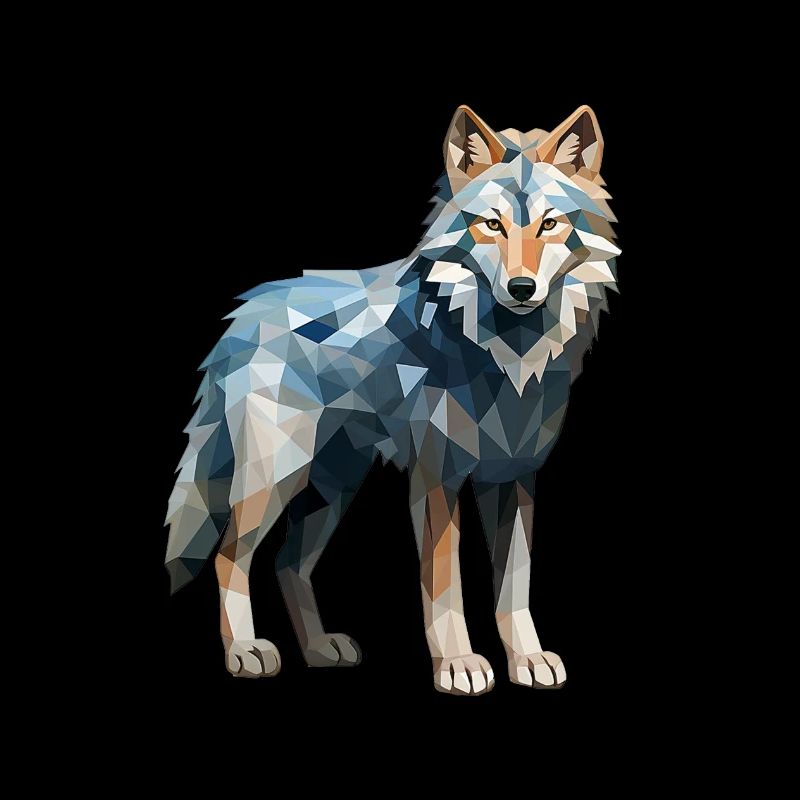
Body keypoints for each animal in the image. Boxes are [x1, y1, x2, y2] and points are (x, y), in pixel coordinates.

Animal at [165, 105, 619, 695]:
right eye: (491, 225)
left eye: (550, 224)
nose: (522, 289)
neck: (507, 356)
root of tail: (243, 313)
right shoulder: (437, 478)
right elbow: (445, 586)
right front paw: (459, 665)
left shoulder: (514, 476)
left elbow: (514, 588)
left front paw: (528, 659)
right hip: (276, 478)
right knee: (230, 557)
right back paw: (245, 650)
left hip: (332, 488)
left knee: (289, 563)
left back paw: (319, 648)